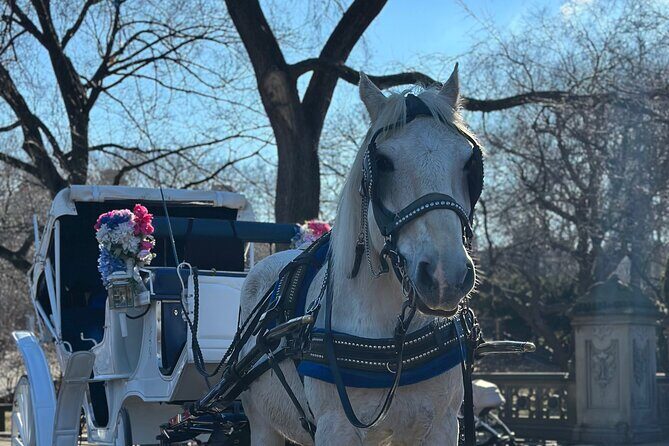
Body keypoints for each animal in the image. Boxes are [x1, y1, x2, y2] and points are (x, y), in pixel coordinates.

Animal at [238, 65, 480, 446]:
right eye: (383, 162)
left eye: (469, 161)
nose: (446, 277)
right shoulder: (336, 428)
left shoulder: (441, 426)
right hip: (263, 426)